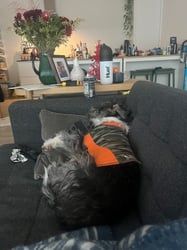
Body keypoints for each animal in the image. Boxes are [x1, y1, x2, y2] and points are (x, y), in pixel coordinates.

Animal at [34, 101, 140, 229]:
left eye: (99, 108)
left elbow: (67, 137)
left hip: (80, 161)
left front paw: (49, 143)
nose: (90, 110)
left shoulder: (80, 144)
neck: (111, 121)